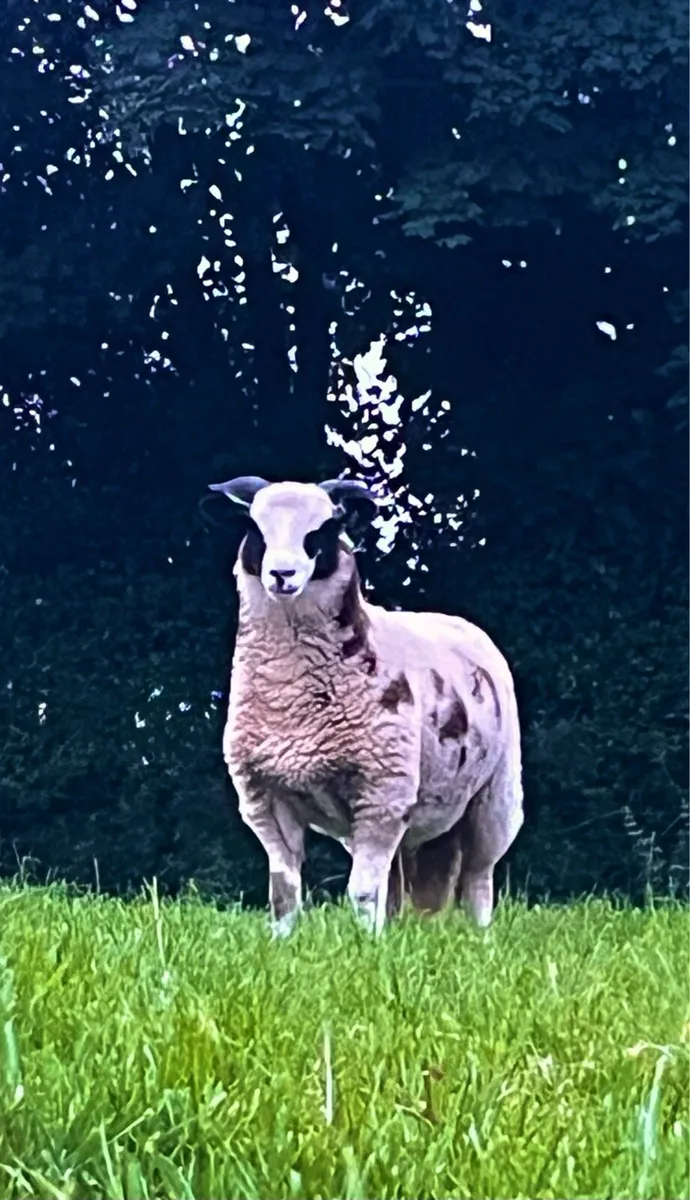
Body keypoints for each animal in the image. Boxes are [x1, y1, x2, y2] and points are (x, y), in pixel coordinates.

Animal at [209, 475, 524, 936]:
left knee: (478, 880)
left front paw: (362, 945)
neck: (290, 697)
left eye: (322, 529)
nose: (282, 575)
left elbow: (360, 893)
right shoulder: (264, 797)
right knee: (396, 885)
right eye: (254, 527)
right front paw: (285, 942)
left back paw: (481, 938)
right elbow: (284, 891)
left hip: (494, 797)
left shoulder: (381, 791)